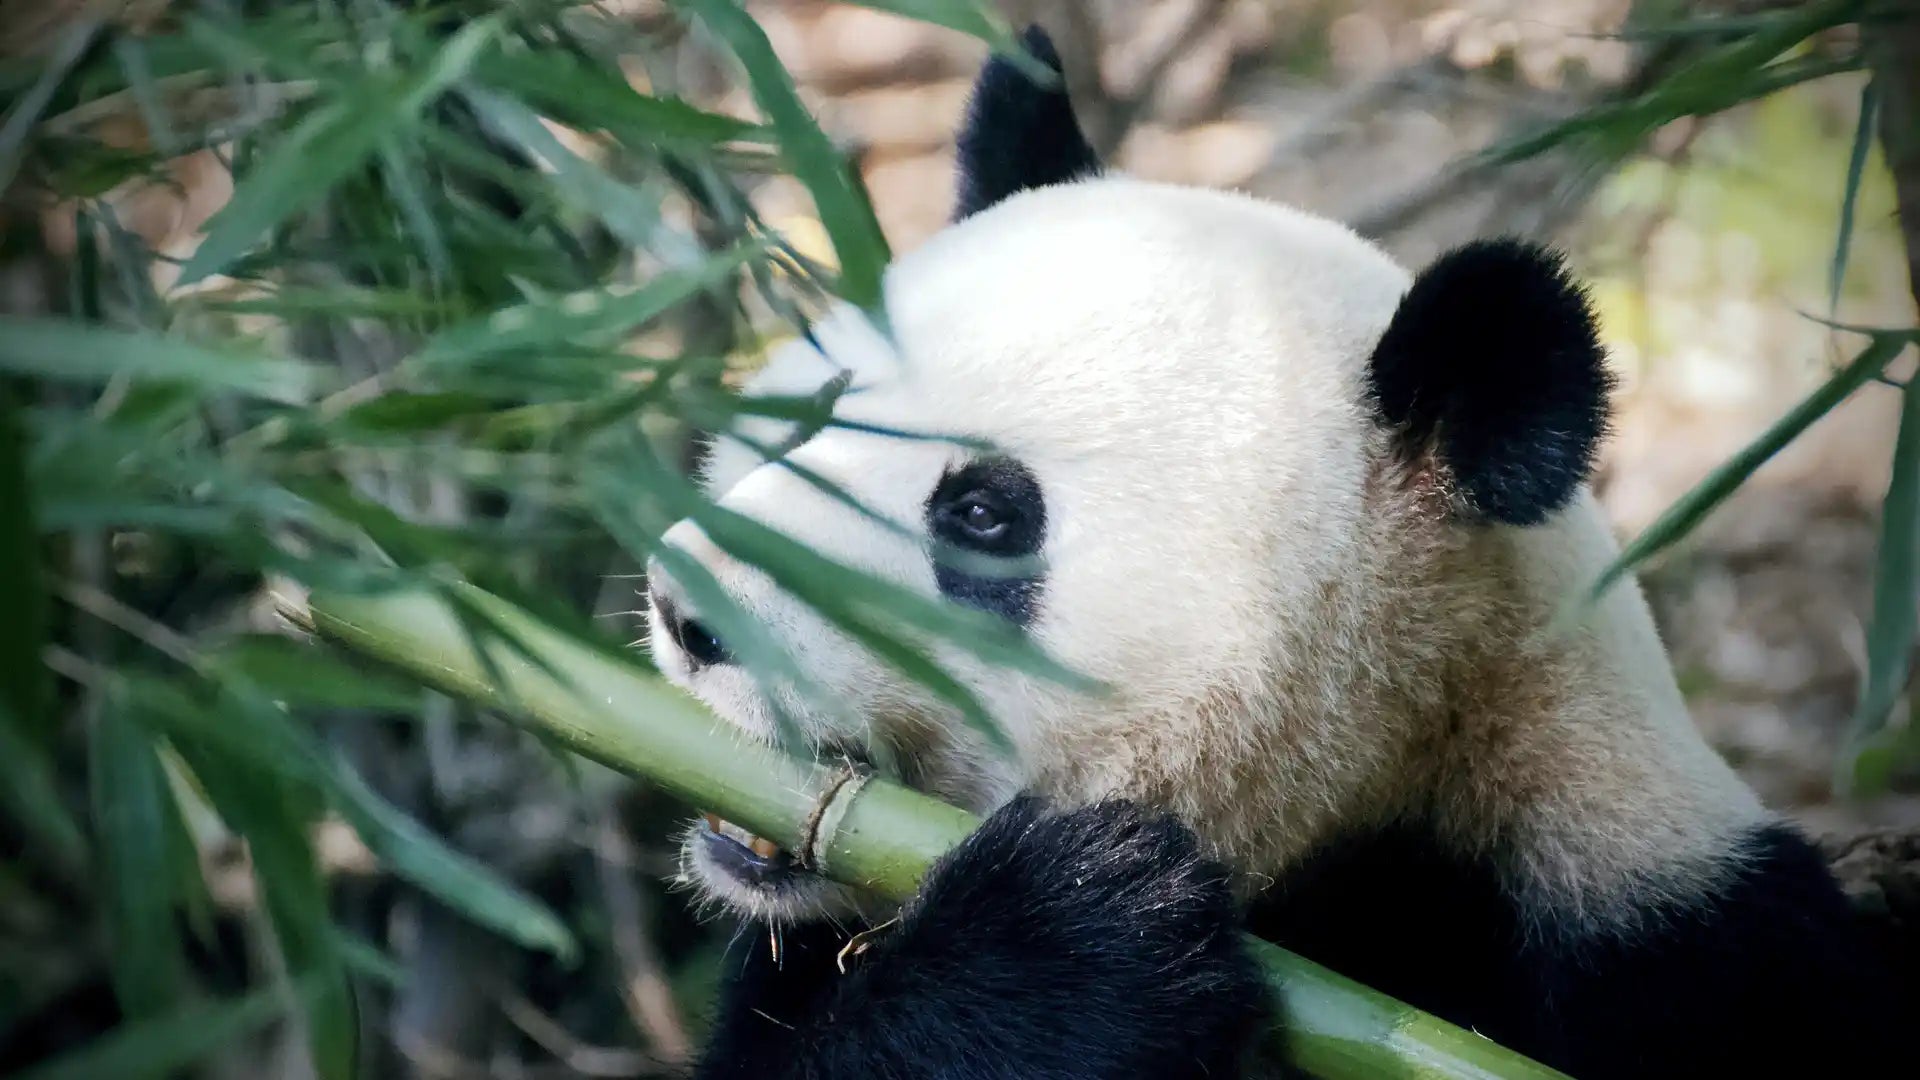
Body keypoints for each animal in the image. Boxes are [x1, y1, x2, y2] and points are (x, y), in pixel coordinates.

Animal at [643, 26, 1902, 1080]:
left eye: (985, 517)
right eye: (813, 417)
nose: (688, 610)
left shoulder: (1675, 950)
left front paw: (1074, 923)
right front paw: (1069, 936)